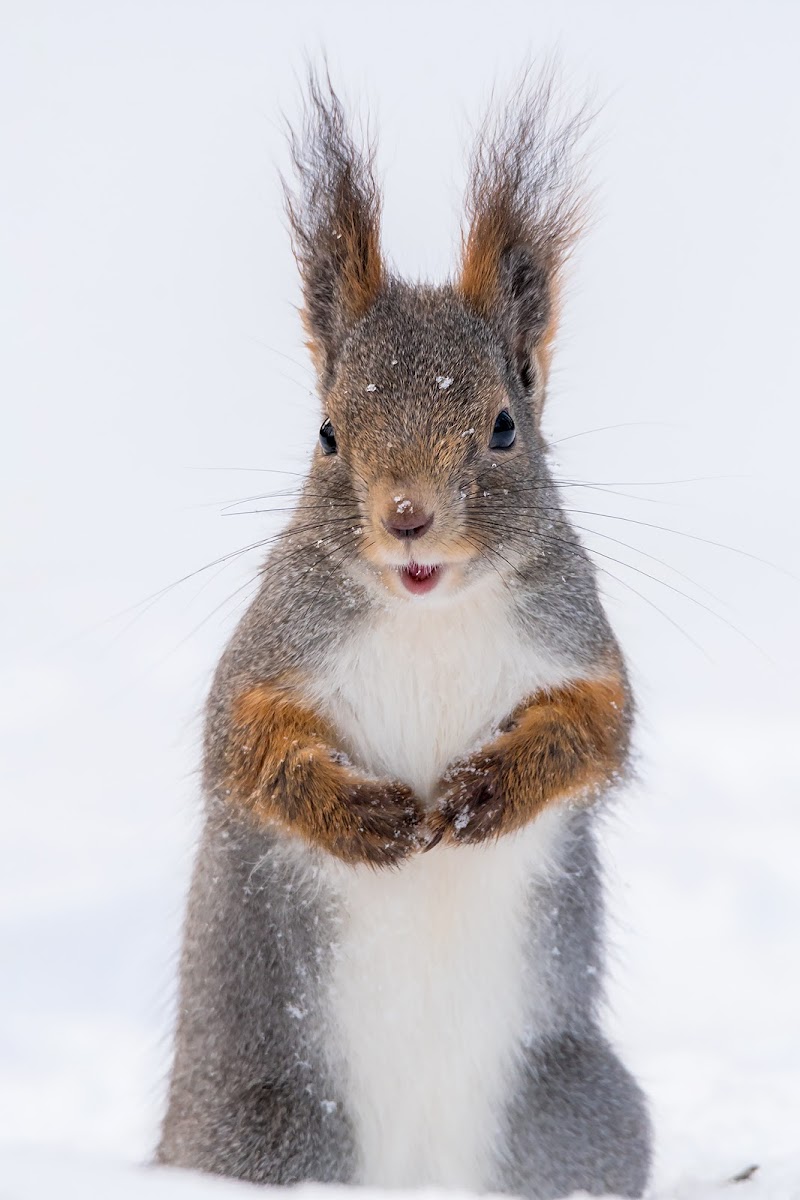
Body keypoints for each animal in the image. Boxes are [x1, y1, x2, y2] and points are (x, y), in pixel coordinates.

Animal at [154, 72, 652, 1200]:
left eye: (504, 425)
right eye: (327, 432)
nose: (408, 518)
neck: (427, 614)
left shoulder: (581, 648)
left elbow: (596, 732)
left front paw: (488, 791)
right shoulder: (271, 654)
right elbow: (243, 749)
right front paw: (364, 818)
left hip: (572, 1119)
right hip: (265, 1131)